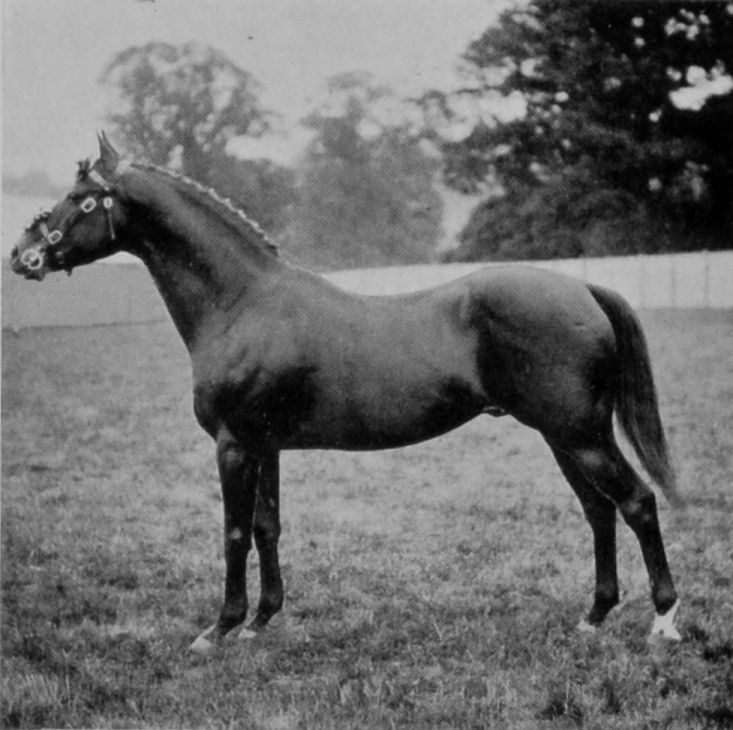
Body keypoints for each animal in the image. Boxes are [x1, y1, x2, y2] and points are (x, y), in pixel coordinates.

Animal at [11, 134, 682, 652]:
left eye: (80, 198)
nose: (23, 255)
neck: (242, 303)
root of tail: (582, 288)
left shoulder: (234, 445)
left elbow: (233, 534)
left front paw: (219, 629)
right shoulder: (266, 446)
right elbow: (267, 527)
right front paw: (260, 622)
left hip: (581, 435)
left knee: (637, 502)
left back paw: (664, 621)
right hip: (561, 438)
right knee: (598, 511)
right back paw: (593, 617)